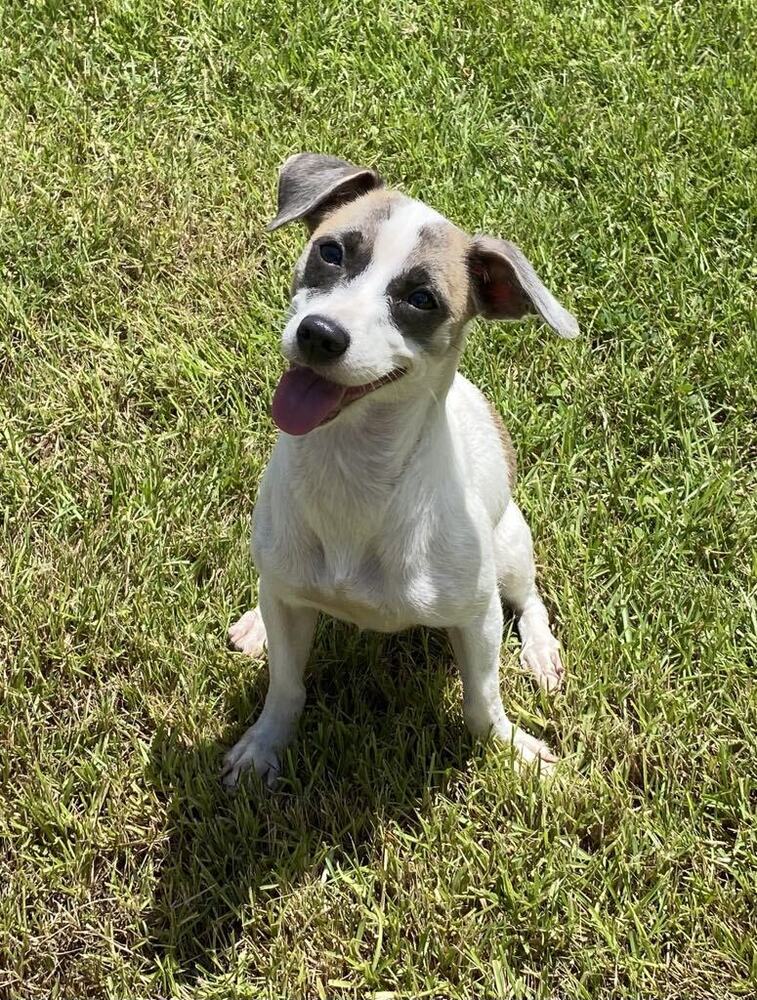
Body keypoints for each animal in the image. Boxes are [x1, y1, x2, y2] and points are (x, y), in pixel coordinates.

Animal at [221, 150, 576, 788]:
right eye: (330, 251)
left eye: (422, 299)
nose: (320, 334)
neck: (352, 470)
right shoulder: (289, 598)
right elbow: (286, 687)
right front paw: (263, 746)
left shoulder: (476, 616)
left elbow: (483, 700)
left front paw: (513, 750)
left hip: (511, 544)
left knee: (529, 599)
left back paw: (540, 651)